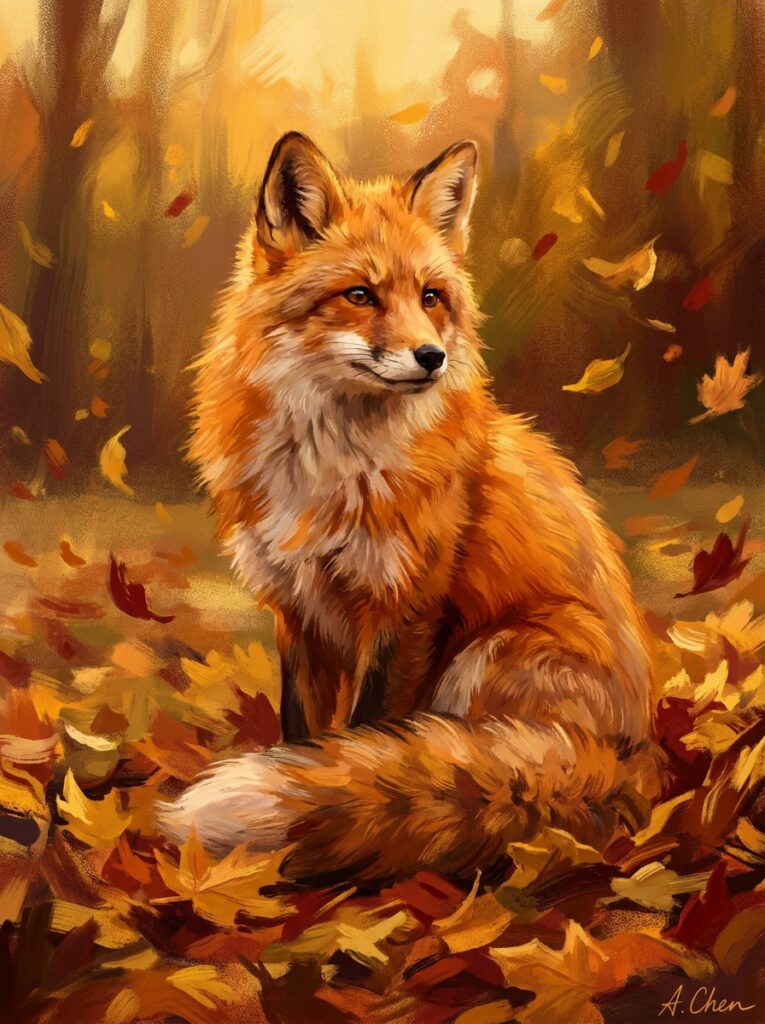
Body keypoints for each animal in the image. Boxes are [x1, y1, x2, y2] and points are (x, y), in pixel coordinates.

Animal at [158, 132, 659, 886]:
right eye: (359, 295)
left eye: (431, 297)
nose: (430, 356)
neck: (330, 467)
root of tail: (635, 761)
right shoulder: (299, 609)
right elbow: (304, 735)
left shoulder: (407, 606)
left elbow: (366, 735)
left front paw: (333, 797)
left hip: (491, 653)